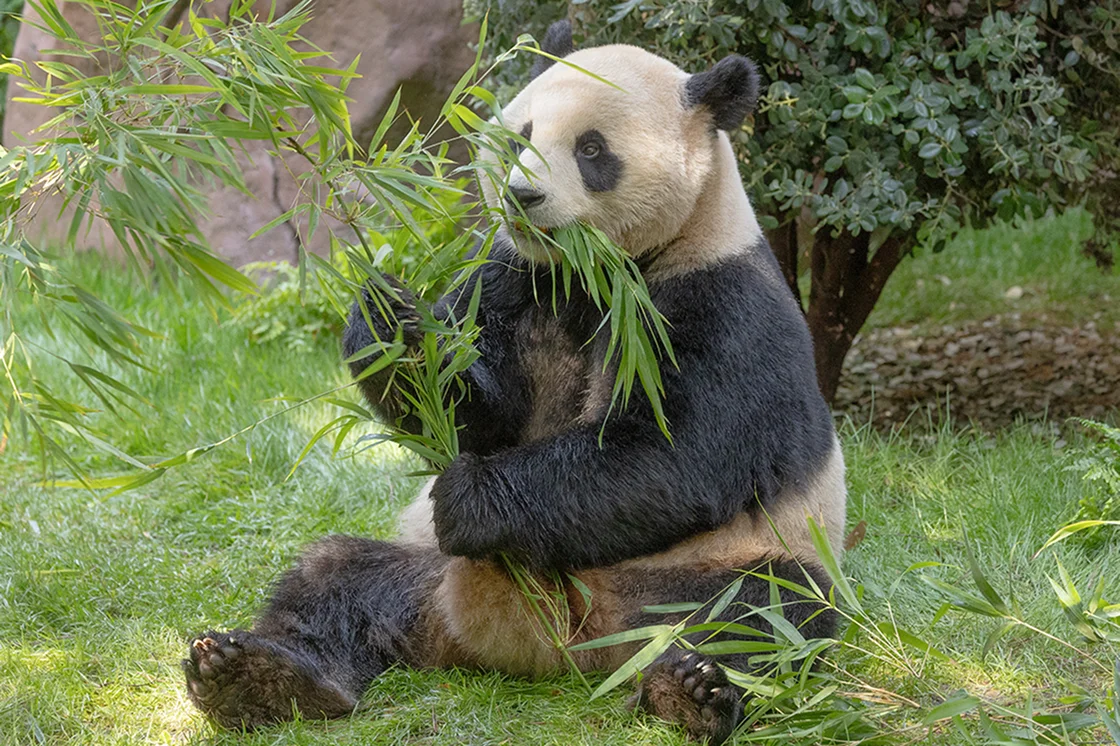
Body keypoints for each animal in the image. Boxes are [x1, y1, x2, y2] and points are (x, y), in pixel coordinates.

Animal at [182, 21, 846, 745]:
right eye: (519, 135)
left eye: (591, 149)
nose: (521, 197)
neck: (596, 270)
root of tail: (559, 646)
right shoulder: (515, 279)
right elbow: (473, 410)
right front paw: (393, 324)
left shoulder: (719, 299)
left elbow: (675, 454)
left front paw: (469, 498)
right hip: (422, 573)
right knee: (330, 578)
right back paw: (258, 676)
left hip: (706, 568)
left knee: (766, 615)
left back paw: (692, 690)